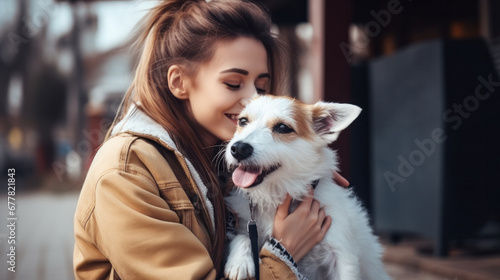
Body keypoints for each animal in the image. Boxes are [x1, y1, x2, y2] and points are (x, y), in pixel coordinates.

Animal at [223, 95, 390, 280]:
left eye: (282, 128)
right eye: (242, 121)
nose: (238, 148)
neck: (276, 194)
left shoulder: (341, 255)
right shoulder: (245, 225)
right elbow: (242, 237)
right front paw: (240, 261)